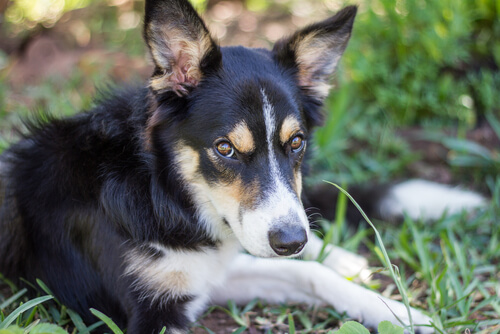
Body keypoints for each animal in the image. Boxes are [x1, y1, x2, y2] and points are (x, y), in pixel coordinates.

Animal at [0, 0, 484, 332]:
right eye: (225, 149)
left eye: (296, 142)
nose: (290, 240)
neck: (161, 191)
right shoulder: (153, 311)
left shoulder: (215, 268)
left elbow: (303, 272)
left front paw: (402, 313)